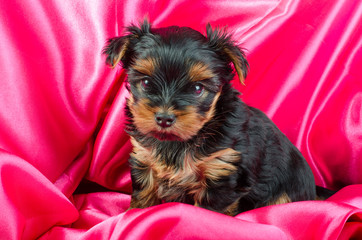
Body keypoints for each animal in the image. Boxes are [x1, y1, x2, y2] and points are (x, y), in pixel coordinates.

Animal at [103, 20, 316, 216]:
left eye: (198, 89)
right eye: (146, 83)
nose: (164, 118)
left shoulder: (221, 170)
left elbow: (209, 211)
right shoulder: (145, 159)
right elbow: (144, 193)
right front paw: (134, 214)